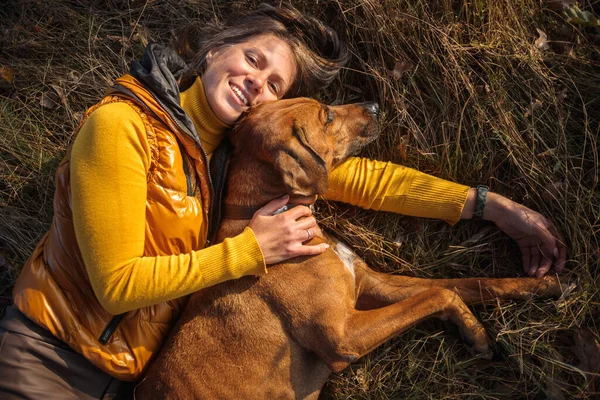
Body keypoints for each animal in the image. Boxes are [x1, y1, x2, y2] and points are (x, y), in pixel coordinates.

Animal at [134, 98, 564, 398]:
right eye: (326, 115)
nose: (375, 104)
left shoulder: (373, 284)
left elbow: (465, 285)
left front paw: (542, 286)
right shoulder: (344, 337)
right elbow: (440, 294)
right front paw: (476, 333)